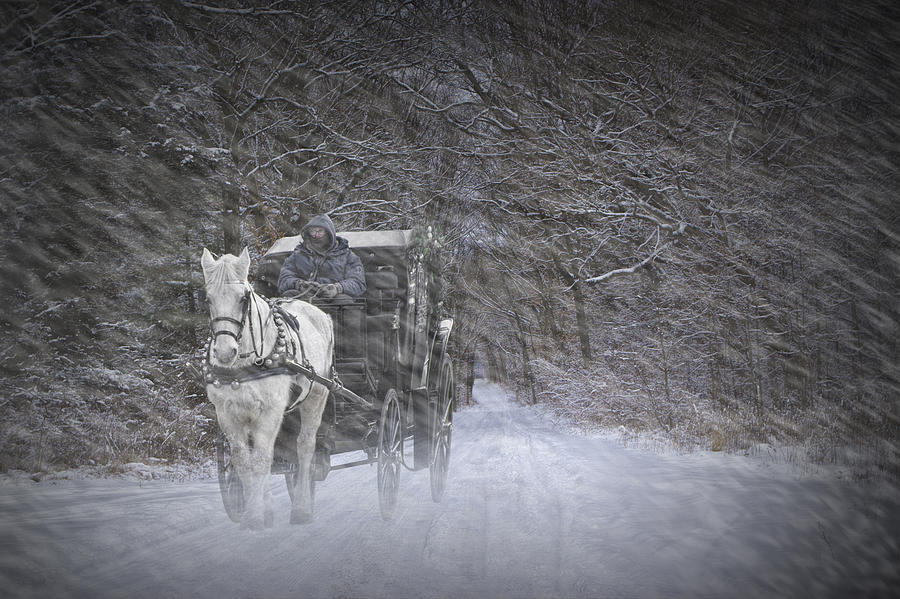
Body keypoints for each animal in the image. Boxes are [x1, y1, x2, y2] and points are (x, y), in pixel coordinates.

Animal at [200, 248, 334, 528]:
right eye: (207, 299)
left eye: (243, 298)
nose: (225, 352)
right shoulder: (227, 413)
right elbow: (244, 460)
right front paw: (261, 511)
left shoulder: (270, 410)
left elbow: (262, 459)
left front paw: (254, 515)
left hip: (318, 396)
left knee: (304, 447)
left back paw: (302, 508)